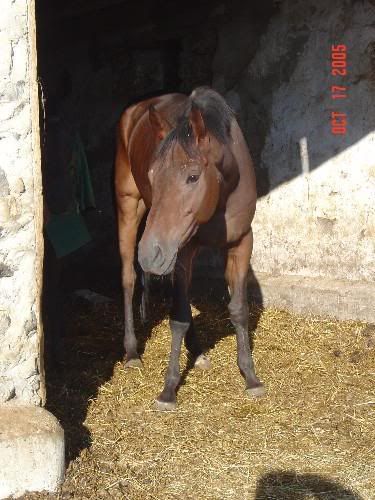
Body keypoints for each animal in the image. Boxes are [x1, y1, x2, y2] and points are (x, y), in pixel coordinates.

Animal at [114, 87, 264, 410]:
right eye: (152, 175)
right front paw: (168, 390)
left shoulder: (241, 243)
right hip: (129, 207)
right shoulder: (181, 250)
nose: (150, 254)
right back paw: (131, 352)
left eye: (193, 176)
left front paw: (250, 376)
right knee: (128, 279)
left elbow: (239, 309)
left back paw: (197, 353)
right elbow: (179, 318)